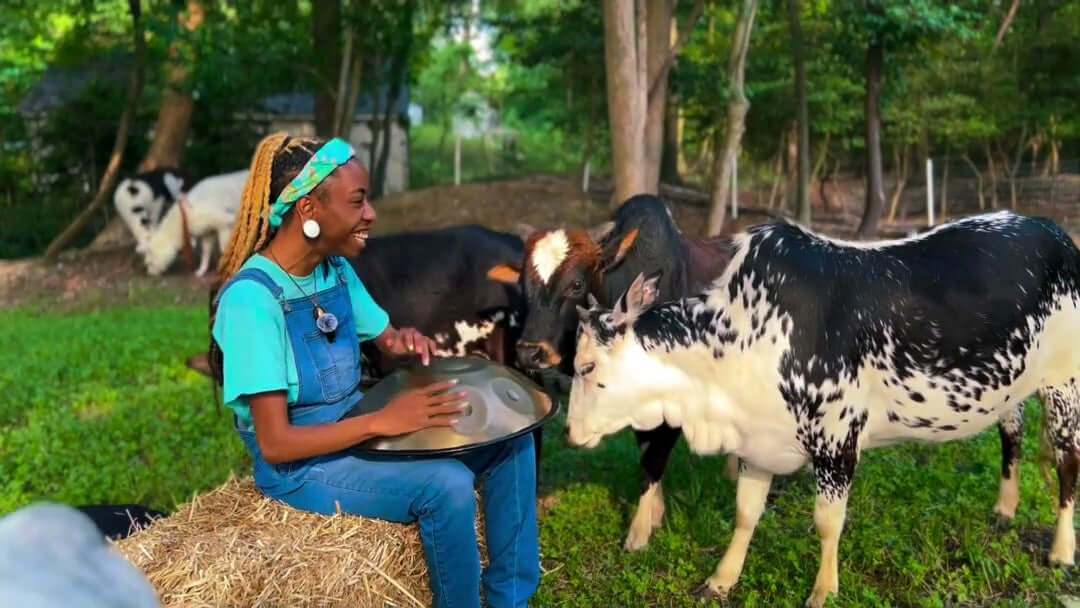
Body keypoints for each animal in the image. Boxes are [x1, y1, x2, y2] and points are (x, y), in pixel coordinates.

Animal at [483, 194, 743, 552]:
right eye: (523, 286)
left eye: (576, 284)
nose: (529, 352)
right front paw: (655, 513)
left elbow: (653, 460)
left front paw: (638, 532)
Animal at [565, 210, 1080, 608]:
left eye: (587, 366)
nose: (571, 433)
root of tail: (1053, 230)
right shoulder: (757, 441)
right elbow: (746, 514)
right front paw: (721, 579)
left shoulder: (837, 441)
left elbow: (827, 523)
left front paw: (823, 590)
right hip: (1010, 385)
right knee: (1012, 430)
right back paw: (1005, 508)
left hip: (1063, 386)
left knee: (1067, 465)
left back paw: (1061, 550)